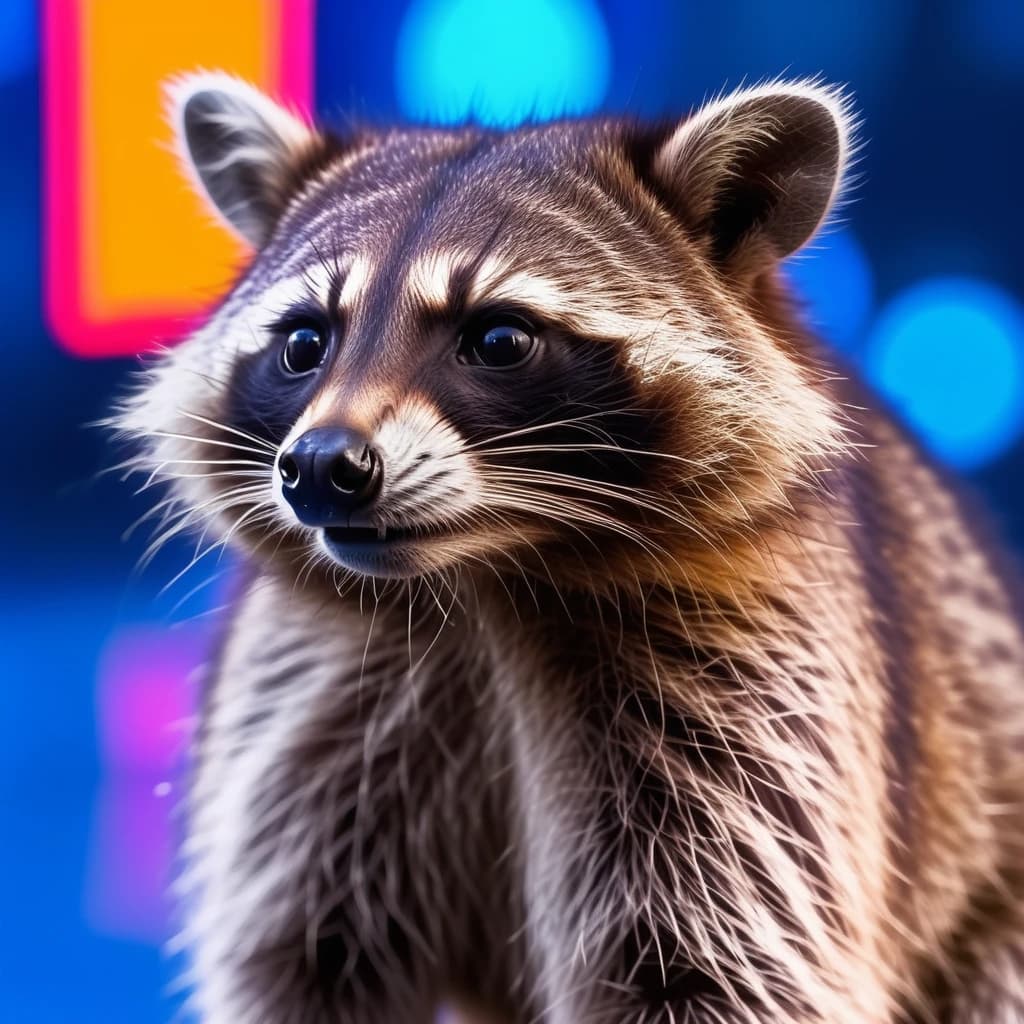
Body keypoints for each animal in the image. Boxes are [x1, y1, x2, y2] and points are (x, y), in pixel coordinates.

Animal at [114, 72, 1024, 1023]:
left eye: (498, 338)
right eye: (304, 342)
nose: (324, 467)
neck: (480, 576)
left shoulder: (752, 699)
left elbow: (719, 968)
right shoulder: (305, 703)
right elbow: (301, 959)